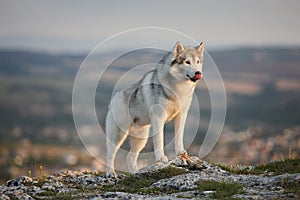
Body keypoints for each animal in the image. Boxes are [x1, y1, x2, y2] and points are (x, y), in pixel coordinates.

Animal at [105, 41, 204, 177]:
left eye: (197, 62)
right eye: (187, 62)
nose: (198, 73)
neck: (178, 89)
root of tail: (115, 97)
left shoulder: (181, 115)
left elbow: (178, 138)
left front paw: (181, 154)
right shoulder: (159, 118)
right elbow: (159, 140)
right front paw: (161, 158)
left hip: (141, 138)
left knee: (130, 157)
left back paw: (136, 173)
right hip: (119, 135)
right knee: (110, 154)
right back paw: (111, 173)